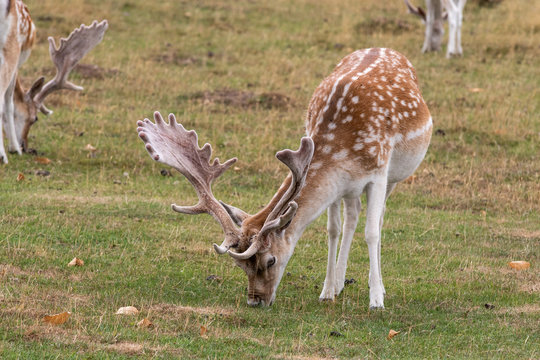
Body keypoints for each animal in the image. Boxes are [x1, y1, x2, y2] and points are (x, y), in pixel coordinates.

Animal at [137, 47, 432, 310]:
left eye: (270, 260)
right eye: (240, 265)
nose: (255, 301)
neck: (343, 147)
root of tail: (387, 49)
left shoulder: (379, 173)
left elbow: (372, 233)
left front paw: (376, 301)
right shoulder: (338, 185)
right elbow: (332, 230)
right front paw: (327, 292)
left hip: (395, 176)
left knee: (378, 220)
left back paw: (378, 287)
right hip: (351, 192)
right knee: (351, 217)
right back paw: (338, 284)